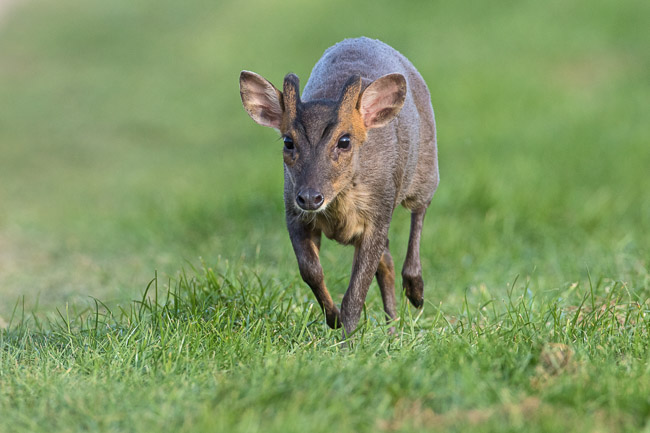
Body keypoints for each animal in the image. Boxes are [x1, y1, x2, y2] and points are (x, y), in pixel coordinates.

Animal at [239, 37, 439, 336]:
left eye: (344, 141)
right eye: (288, 141)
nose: (310, 197)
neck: (340, 207)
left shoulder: (378, 214)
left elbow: (355, 293)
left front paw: (347, 340)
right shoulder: (293, 212)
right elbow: (310, 270)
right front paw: (333, 318)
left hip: (425, 167)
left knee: (420, 210)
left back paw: (416, 293)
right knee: (387, 262)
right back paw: (393, 329)